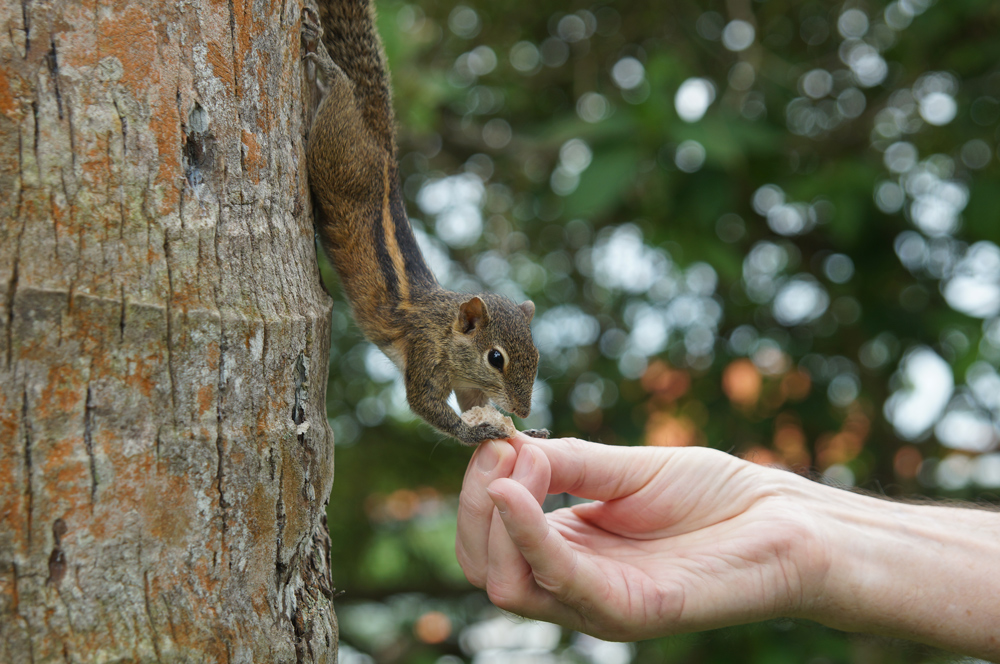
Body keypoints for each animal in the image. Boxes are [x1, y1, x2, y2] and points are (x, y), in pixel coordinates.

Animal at [300, 2, 544, 446]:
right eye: (495, 357)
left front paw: (527, 431)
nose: (523, 409)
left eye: (535, 354)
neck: (446, 327)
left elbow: (469, 402)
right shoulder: (424, 351)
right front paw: (481, 432)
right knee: (341, 94)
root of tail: (383, 146)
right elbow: (425, 404)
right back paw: (327, 63)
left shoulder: (466, 384)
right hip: (338, 150)